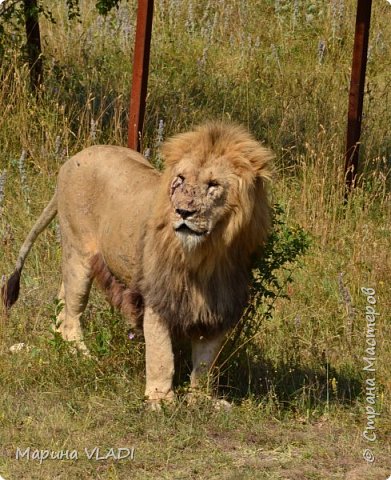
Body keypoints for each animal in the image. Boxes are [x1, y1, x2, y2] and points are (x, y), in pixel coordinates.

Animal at [2, 122, 272, 406]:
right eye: (181, 180)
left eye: (213, 185)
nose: (183, 212)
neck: (206, 256)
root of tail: (72, 160)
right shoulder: (158, 297)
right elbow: (161, 355)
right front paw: (160, 401)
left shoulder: (219, 303)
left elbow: (206, 363)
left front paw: (202, 400)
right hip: (78, 254)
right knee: (72, 315)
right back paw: (84, 358)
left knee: (62, 303)